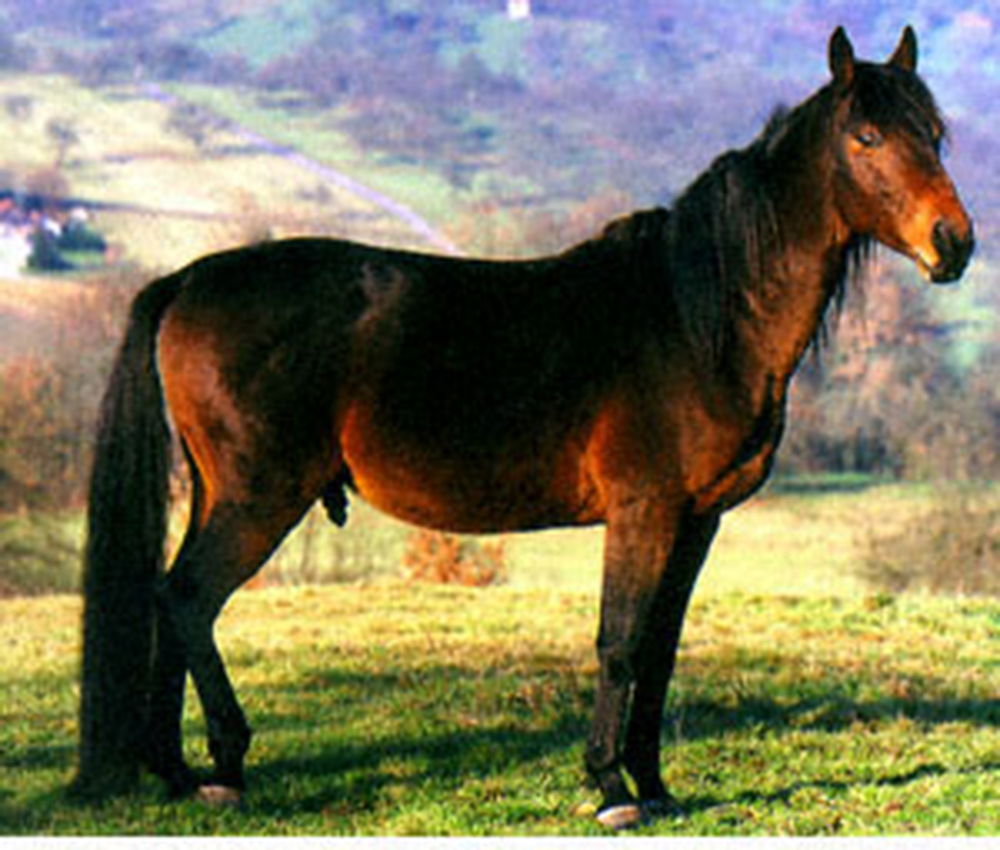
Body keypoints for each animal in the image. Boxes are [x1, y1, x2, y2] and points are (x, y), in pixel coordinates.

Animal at [72, 28, 976, 828]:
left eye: (934, 135)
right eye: (866, 136)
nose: (954, 243)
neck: (696, 317)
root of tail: (188, 280)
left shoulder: (697, 521)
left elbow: (659, 652)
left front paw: (655, 785)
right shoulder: (644, 511)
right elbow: (619, 641)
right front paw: (610, 787)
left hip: (218, 492)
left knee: (170, 602)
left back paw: (175, 771)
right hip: (260, 495)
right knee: (188, 599)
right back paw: (225, 763)